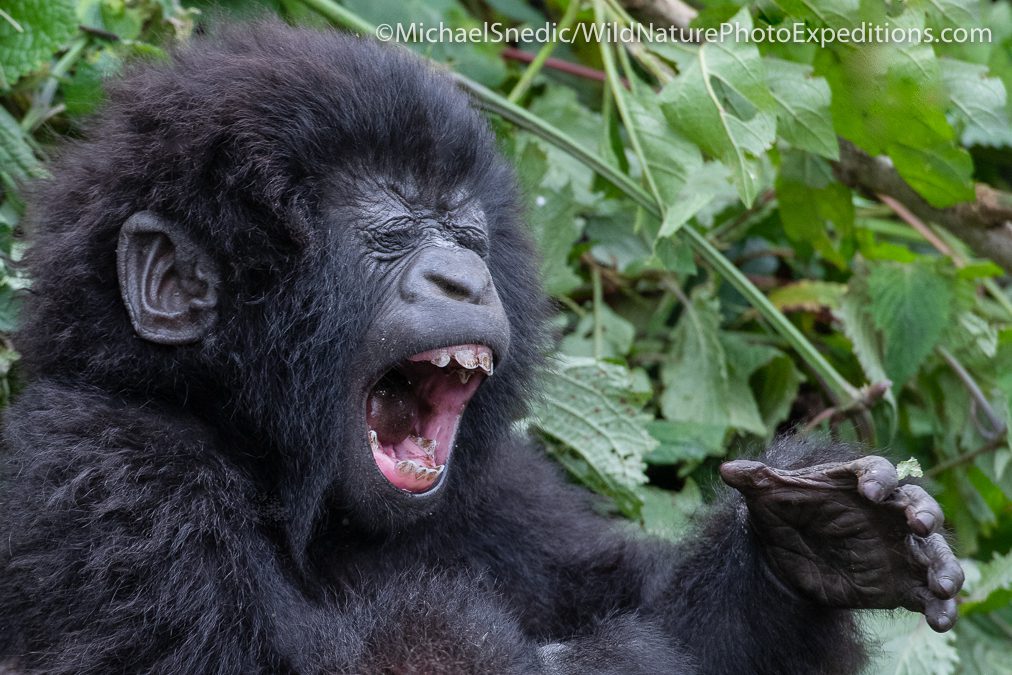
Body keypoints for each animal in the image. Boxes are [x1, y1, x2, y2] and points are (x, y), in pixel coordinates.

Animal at [0, 21, 959, 675]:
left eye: (463, 230)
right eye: (390, 235)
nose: (463, 276)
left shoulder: (506, 489)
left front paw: (811, 544)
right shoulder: (106, 475)